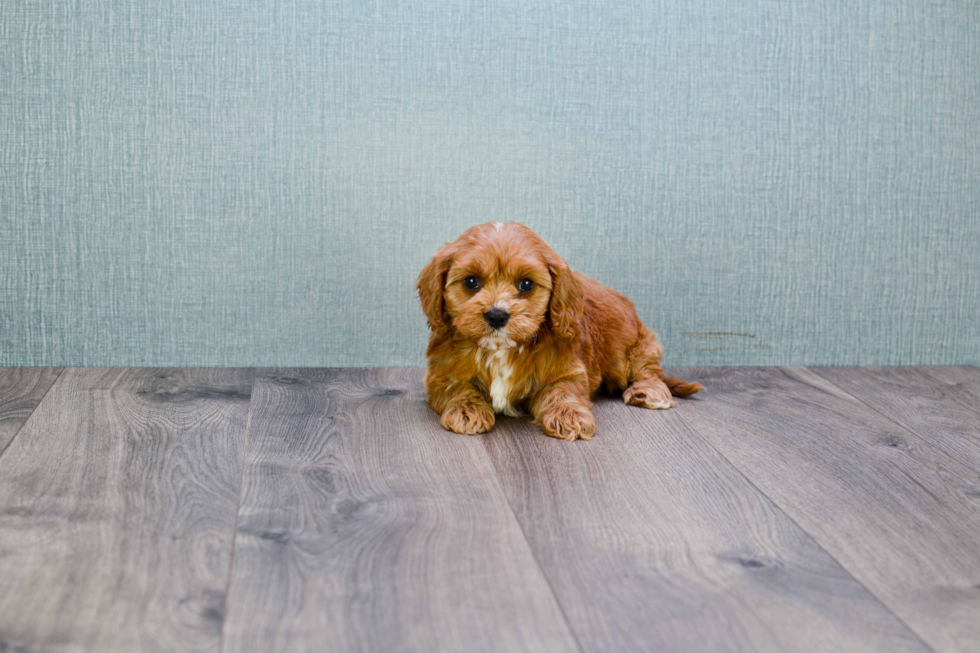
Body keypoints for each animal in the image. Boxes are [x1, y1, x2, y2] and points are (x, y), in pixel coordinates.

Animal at [418, 222, 700, 440]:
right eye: (471, 281)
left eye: (526, 284)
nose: (497, 315)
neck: (500, 349)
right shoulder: (440, 374)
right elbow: (458, 387)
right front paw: (467, 409)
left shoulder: (567, 369)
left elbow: (563, 391)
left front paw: (569, 415)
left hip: (632, 348)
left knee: (648, 369)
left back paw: (649, 392)